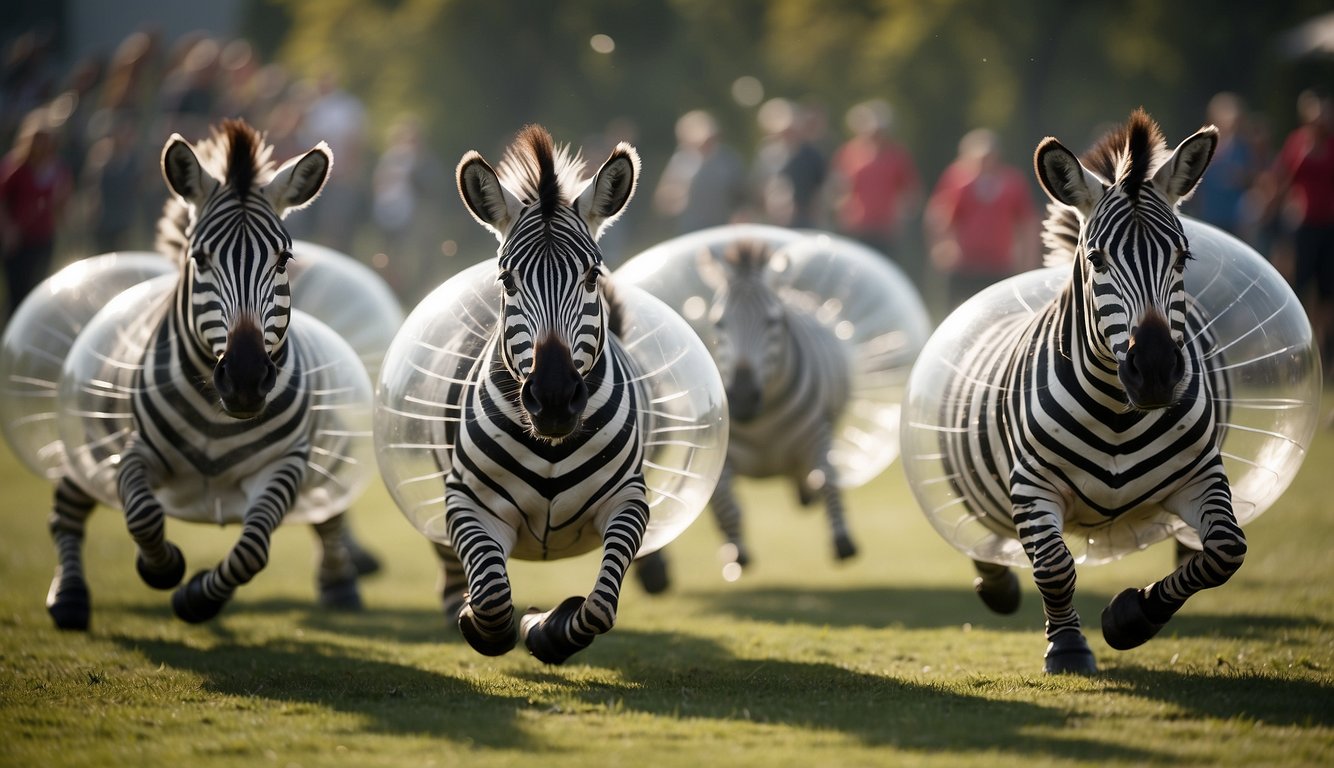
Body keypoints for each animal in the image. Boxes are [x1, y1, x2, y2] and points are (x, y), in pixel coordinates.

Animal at [45, 118, 370, 624]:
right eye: (199, 259)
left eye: (283, 260)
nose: (245, 380)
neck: (218, 418)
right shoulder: (135, 451)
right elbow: (142, 515)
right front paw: (161, 568)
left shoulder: (284, 465)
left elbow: (252, 550)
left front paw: (197, 597)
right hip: (88, 440)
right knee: (67, 506)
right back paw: (69, 597)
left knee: (326, 511)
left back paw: (340, 586)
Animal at [429, 122, 642, 664]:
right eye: (507, 280)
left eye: (591, 276)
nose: (553, 399)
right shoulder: (466, 501)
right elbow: (490, 596)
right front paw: (481, 621)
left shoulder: (631, 499)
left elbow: (599, 607)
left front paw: (546, 627)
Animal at [629, 240, 848, 586]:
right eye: (719, 322)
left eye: (774, 321)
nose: (743, 398)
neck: (762, 422)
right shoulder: (719, 449)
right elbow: (726, 505)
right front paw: (736, 556)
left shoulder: (819, 430)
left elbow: (829, 479)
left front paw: (842, 542)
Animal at [923, 109, 1232, 672]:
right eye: (1097, 259)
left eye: (1182, 258)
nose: (1156, 371)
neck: (1117, 413)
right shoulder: (1032, 483)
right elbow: (1054, 565)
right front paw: (1067, 646)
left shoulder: (1201, 473)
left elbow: (1224, 551)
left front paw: (1132, 616)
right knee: (985, 537)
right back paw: (996, 586)